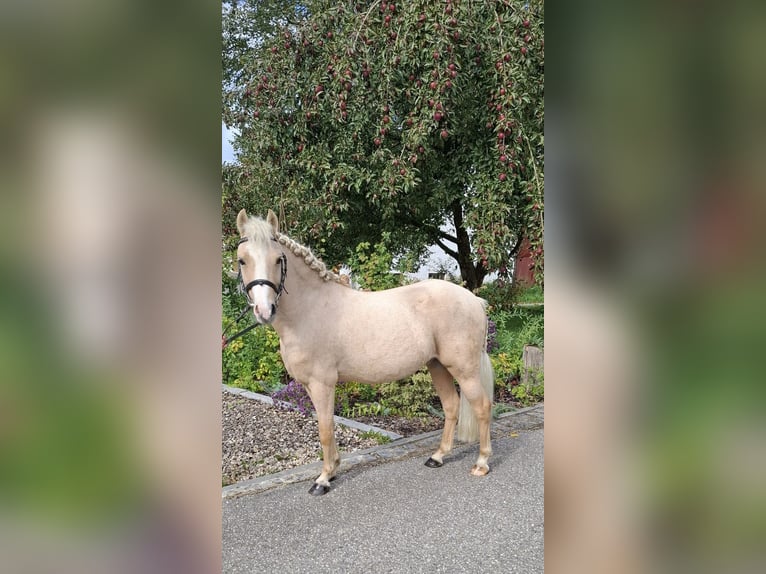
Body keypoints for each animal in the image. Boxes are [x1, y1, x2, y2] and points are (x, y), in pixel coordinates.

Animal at [236, 209, 498, 498]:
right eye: (242, 260)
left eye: (278, 259)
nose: (264, 310)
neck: (310, 310)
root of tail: (475, 300)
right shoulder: (309, 385)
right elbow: (327, 426)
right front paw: (333, 469)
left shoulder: (322, 383)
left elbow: (325, 429)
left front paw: (323, 480)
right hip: (437, 365)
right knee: (451, 406)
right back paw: (437, 457)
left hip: (464, 369)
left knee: (482, 407)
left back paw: (481, 463)